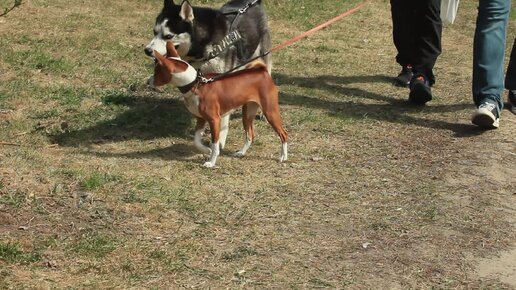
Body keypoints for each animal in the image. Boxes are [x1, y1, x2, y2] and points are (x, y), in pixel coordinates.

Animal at [149, 42, 288, 167]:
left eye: (157, 71)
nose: (147, 81)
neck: (196, 84)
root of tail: (262, 71)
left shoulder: (214, 120)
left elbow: (215, 144)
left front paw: (211, 162)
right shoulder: (201, 119)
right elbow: (196, 141)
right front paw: (206, 150)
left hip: (270, 112)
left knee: (284, 134)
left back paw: (283, 156)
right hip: (247, 113)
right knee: (250, 135)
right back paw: (241, 152)